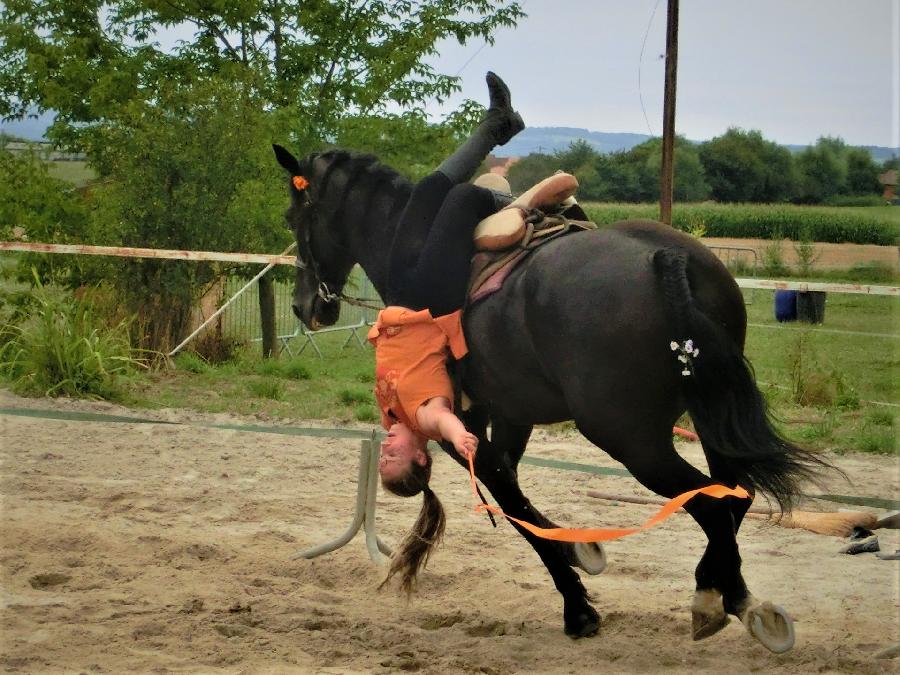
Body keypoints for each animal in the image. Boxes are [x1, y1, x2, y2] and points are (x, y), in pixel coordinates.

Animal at [270, 145, 828, 652]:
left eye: (295, 218)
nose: (304, 305)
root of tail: (666, 260)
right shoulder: (511, 414)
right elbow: (516, 491)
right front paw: (582, 555)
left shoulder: (462, 424)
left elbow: (511, 503)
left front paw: (577, 607)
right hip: (707, 415)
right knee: (736, 496)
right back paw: (724, 594)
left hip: (631, 440)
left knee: (713, 506)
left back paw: (723, 602)